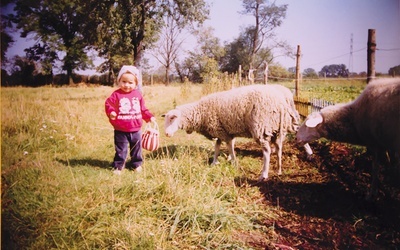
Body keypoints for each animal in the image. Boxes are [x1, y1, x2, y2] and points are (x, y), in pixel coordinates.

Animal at [162, 84, 296, 180]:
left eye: (172, 118)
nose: (166, 134)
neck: (200, 113)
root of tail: (280, 103)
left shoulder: (222, 132)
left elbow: (229, 147)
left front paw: (233, 161)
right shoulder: (221, 131)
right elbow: (217, 148)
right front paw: (214, 162)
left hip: (261, 127)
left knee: (267, 151)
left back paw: (264, 175)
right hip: (277, 130)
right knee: (279, 148)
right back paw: (279, 170)